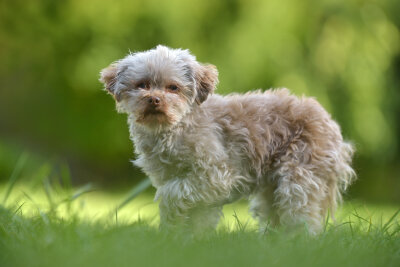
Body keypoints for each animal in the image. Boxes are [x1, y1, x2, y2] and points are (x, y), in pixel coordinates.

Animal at [100, 45, 356, 236]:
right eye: (142, 85)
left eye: (173, 87)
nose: (154, 99)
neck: (174, 128)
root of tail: (329, 122)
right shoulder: (192, 185)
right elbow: (198, 215)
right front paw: (188, 240)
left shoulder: (215, 175)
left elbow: (170, 195)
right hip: (271, 189)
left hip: (298, 178)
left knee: (302, 218)